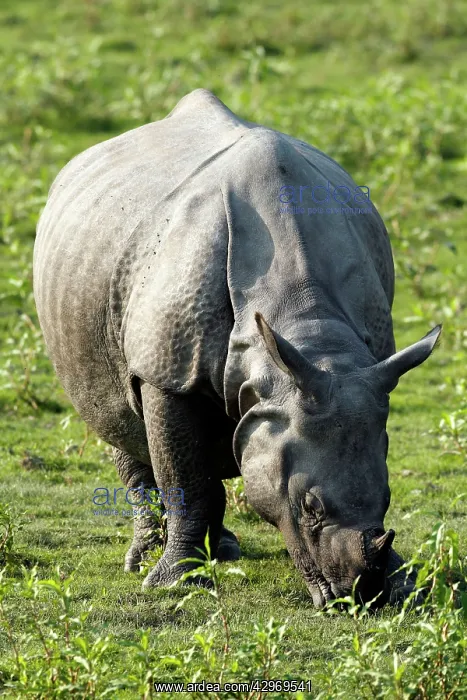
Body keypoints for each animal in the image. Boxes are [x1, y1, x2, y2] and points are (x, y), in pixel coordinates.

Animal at [33, 89, 441, 608]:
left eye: (389, 499)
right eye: (308, 506)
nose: (358, 597)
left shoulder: (364, 369)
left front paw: (403, 583)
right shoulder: (170, 368)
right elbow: (186, 477)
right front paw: (176, 583)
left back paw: (222, 551)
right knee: (123, 421)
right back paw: (148, 562)